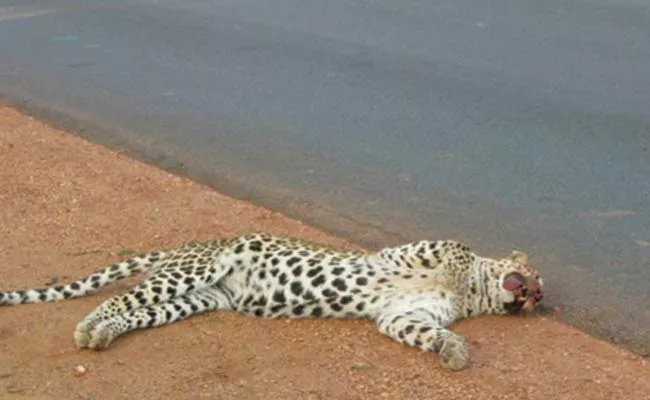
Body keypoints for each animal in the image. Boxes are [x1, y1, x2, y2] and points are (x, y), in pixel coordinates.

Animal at [1, 231, 540, 372]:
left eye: (539, 294)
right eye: (533, 274)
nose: (536, 296)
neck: (473, 294)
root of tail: (187, 245)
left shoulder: (401, 316)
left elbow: (426, 331)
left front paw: (454, 351)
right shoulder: (404, 251)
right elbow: (457, 249)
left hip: (192, 300)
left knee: (137, 310)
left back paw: (102, 336)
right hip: (193, 272)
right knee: (117, 300)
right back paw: (87, 327)